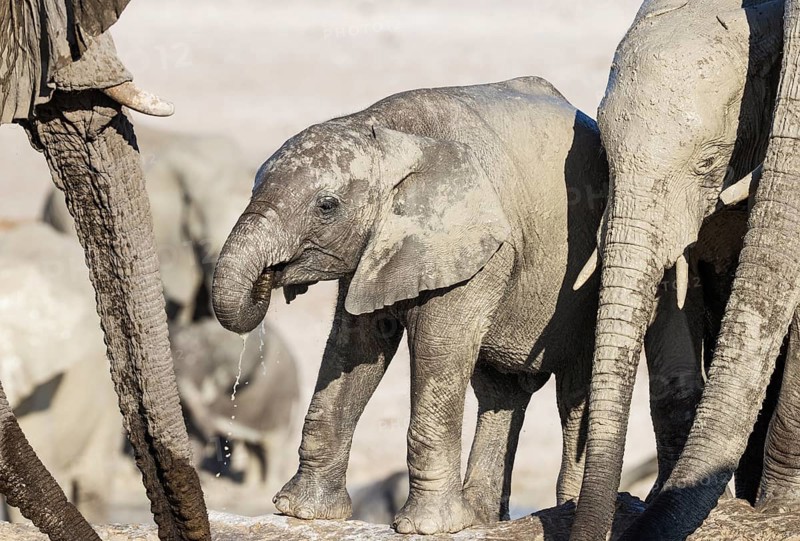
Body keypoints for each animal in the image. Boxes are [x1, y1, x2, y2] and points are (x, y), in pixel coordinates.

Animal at [169, 319, 299, 490]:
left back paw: (267, 488)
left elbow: (197, 432)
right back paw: (250, 487)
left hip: (282, 403)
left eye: (197, 360)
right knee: (254, 447)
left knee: (273, 444)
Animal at [210, 76, 706, 534]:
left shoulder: (480, 251)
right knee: (501, 392)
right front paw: (302, 512)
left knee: (573, 393)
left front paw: (427, 528)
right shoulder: (378, 249)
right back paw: (484, 520)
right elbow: (354, 350)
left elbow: (438, 350)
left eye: (326, 205)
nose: (269, 279)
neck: (387, 131)